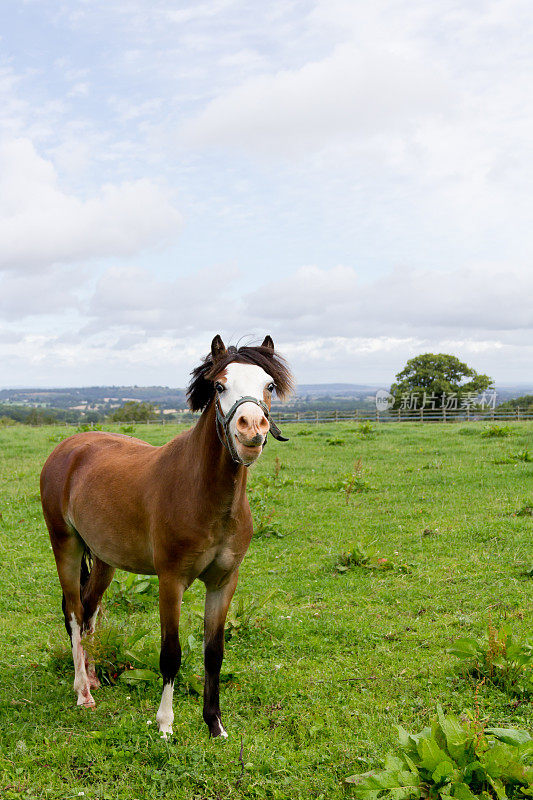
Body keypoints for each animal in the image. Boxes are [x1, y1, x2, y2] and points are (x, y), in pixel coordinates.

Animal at [40, 332, 294, 736]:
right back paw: (83, 693)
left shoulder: (223, 583)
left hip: (105, 560)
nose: (251, 428)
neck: (203, 493)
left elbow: (214, 653)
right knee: (75, 614)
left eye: (268, 385)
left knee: (91, 611)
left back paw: (93, 678)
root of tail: (68, 449)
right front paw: (165, 725)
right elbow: (171, 654)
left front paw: (215, 725)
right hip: (65, 545)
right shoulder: (171, 580)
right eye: (219, 385)